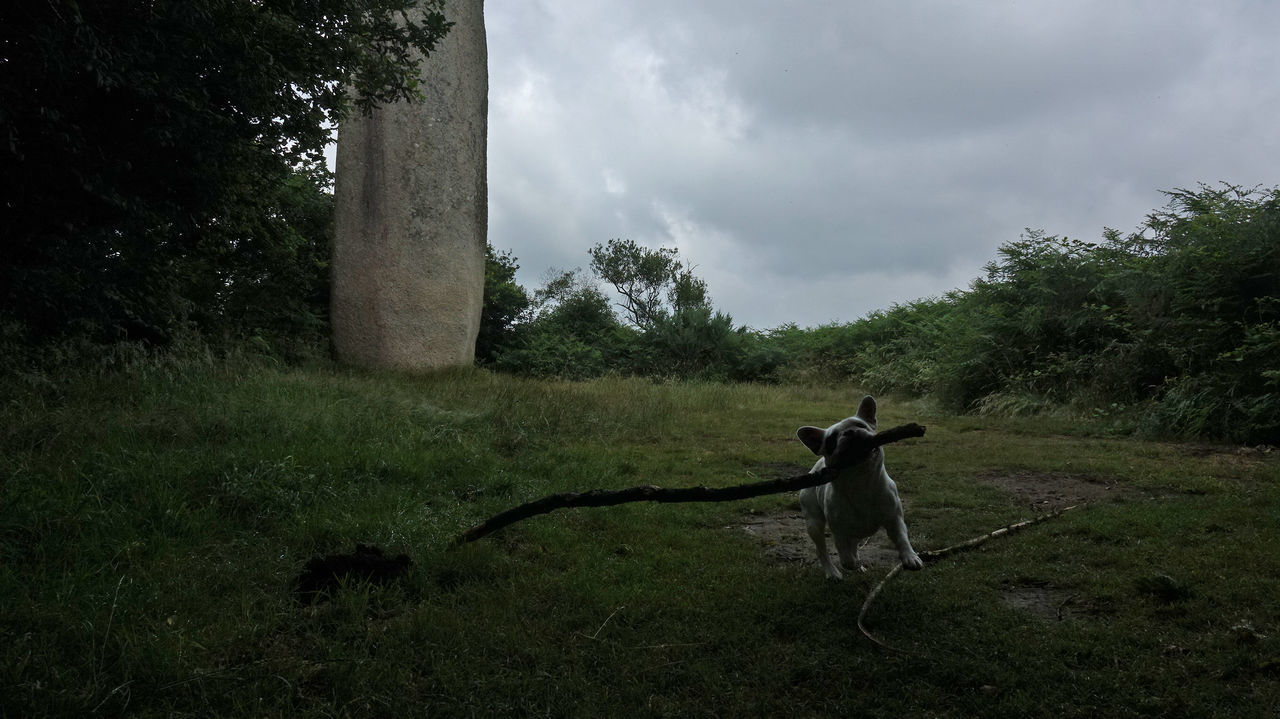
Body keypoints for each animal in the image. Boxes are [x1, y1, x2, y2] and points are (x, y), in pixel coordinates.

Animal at [798, 391, 921, 575]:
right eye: (831, 439)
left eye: (860, 425)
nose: (849, 431)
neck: (860, 480)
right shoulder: (840, 531)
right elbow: (845, 557)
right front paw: (851, 563)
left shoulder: (894, 518)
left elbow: (902, 538)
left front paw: (910, 556)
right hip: (814, 523)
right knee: (822, 550)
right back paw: (832, 571)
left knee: (854, 545)